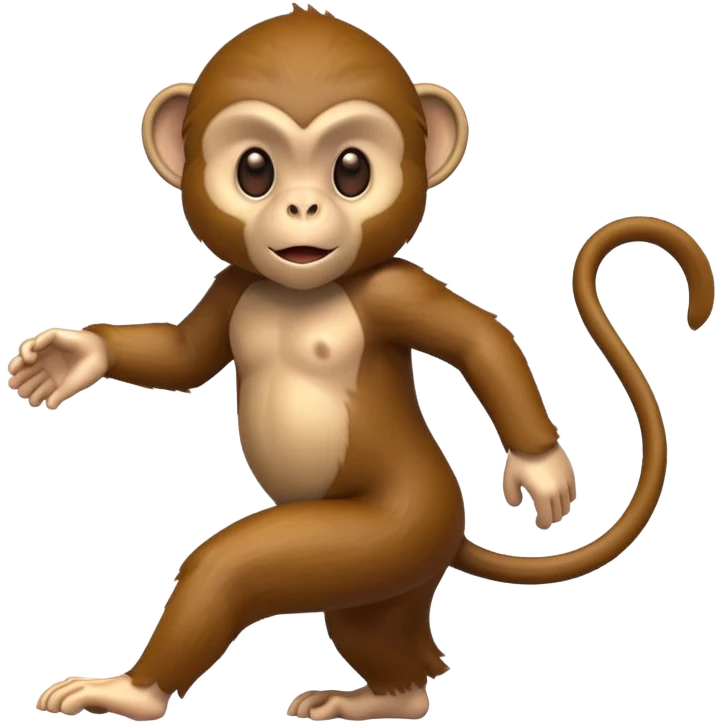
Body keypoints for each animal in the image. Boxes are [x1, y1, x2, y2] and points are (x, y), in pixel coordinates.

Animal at [15, 5, 715, 722]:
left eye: (351, 170)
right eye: (254, 170)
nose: (302, 207)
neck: (303, 289)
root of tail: (450, 537)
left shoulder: (393, 287)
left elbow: (479, 340)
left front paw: (541, 469)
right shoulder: (233, 285)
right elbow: (185, 357)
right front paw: (72, 356)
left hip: (393, 534)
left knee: (234, 570)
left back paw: (131, 693)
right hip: (388, 580)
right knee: (377, 632)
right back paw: (381, 698)